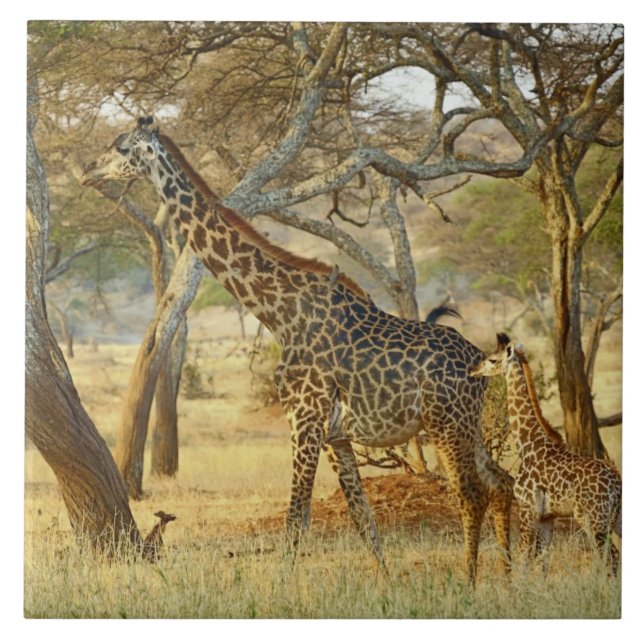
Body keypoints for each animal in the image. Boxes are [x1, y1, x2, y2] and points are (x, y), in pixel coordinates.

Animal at [81, 117, 514, 582]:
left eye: (121, 147)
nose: (87, 170)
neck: (278, 311)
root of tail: (480, 365)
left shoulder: (303, 419)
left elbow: (296, 520)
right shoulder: (335, 434)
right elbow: (363, 517)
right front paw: (385, 581)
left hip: (446, 423)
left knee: (471, 494)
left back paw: (471, 581)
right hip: (468, 425)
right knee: (502, 483)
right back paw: (510, 576)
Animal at [470, 333, 622, 574]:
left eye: (493, 360)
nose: (474, 370)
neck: (528, 443)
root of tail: (616, 483)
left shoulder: (527, 509)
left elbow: (523, 559)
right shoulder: (547, 517)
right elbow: (542, 563)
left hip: (593, 520)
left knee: (611, 559)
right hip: (616, 519)